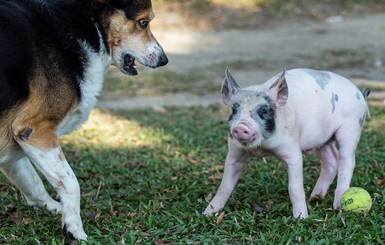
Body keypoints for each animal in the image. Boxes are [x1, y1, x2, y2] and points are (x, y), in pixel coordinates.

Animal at [0, 0, 167, 241]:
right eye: (144, 22)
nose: (164, 60)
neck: (82, 23)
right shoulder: (34, 130)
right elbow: (70, 183)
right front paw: (75, 230)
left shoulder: (17, 138)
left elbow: (32, 182)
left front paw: (54, 208)